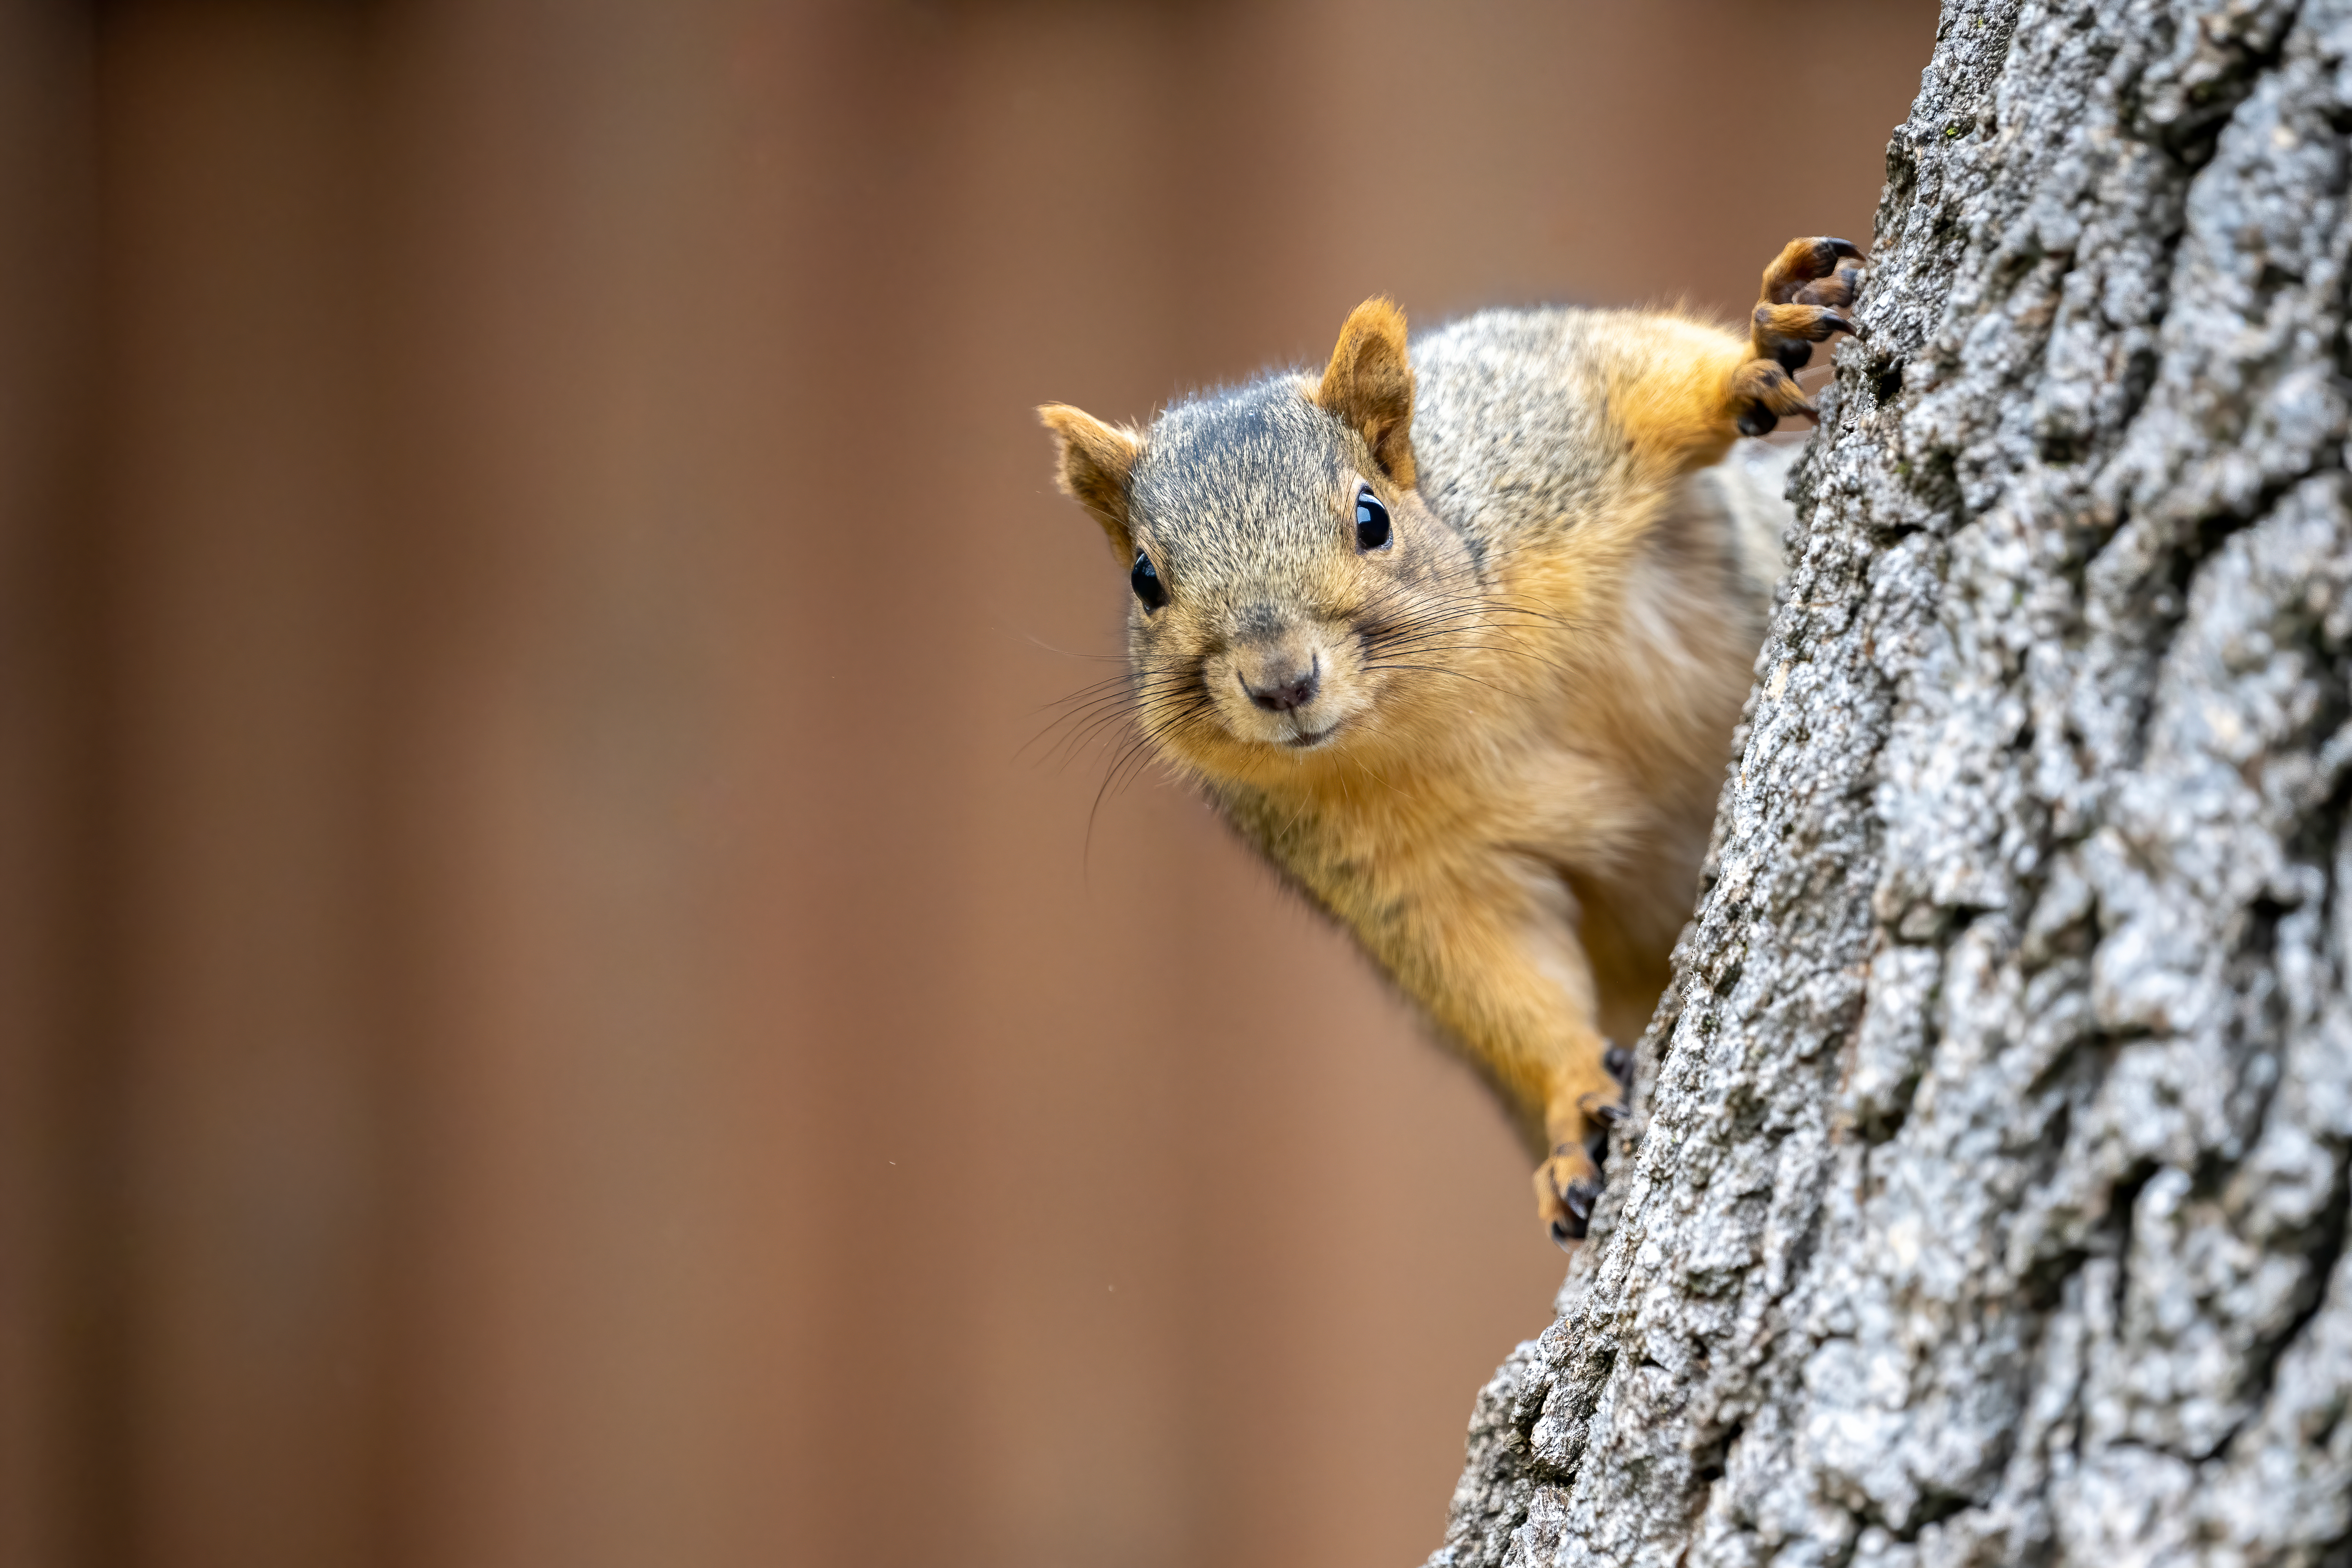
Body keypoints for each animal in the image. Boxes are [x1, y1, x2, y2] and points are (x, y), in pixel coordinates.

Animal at [1038, 237, 1863, 1247]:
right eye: (1145, 580)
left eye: (1370, 516)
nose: (1281, 682)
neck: (1441, 698)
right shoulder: (1410, 877)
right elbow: (1501, 979)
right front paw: (1574, 1111)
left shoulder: (1544, 426)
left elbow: (1643, 377)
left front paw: (1760, 342)